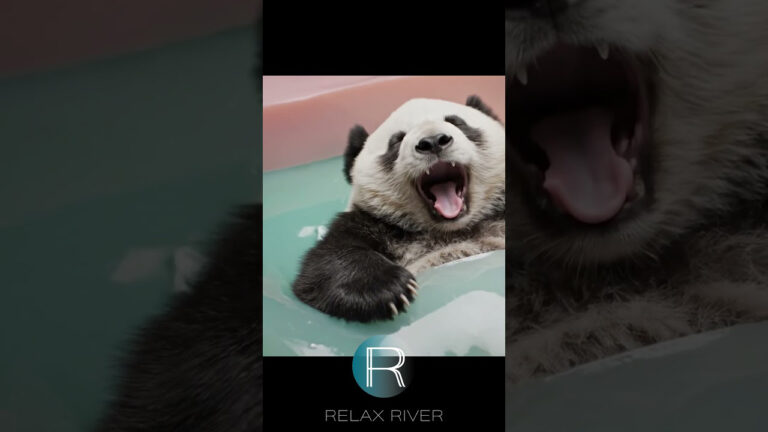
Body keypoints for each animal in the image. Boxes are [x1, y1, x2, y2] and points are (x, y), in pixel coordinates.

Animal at [293, 96, 506, 322]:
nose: (433, 141)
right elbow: (323, 264)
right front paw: (387, 289)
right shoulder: (372, 221)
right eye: (396, 140)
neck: (452, 230)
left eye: (457, 122)